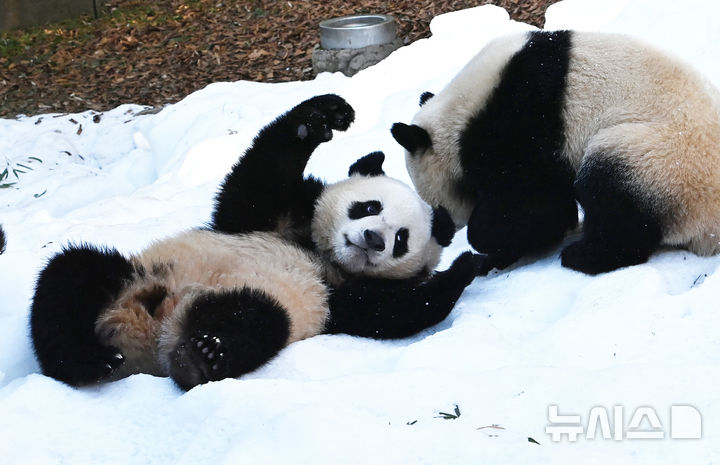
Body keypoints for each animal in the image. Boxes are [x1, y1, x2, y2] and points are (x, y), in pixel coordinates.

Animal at [32, 95, 484, 392]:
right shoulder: (272, 217)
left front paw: (465, 266)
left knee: (257, 318)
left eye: (401, 239)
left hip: (268, 302)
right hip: (135, 276)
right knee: (71, 278)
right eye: (369, 206)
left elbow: (391, 313)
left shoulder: (341, 296)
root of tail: (144, 337)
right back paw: (88, 361)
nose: (373, 239)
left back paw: (201, 357)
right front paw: (322, 116)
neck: (322, 255)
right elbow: (252, 183)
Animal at [390, 29, 720, 276]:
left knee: (613, 192)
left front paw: (484, 240)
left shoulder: (520, 122)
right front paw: (494, 258)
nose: (445, 230)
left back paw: (583, 256)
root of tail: (711, 230)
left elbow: (533, 208)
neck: (459, 115)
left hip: (664, 159)